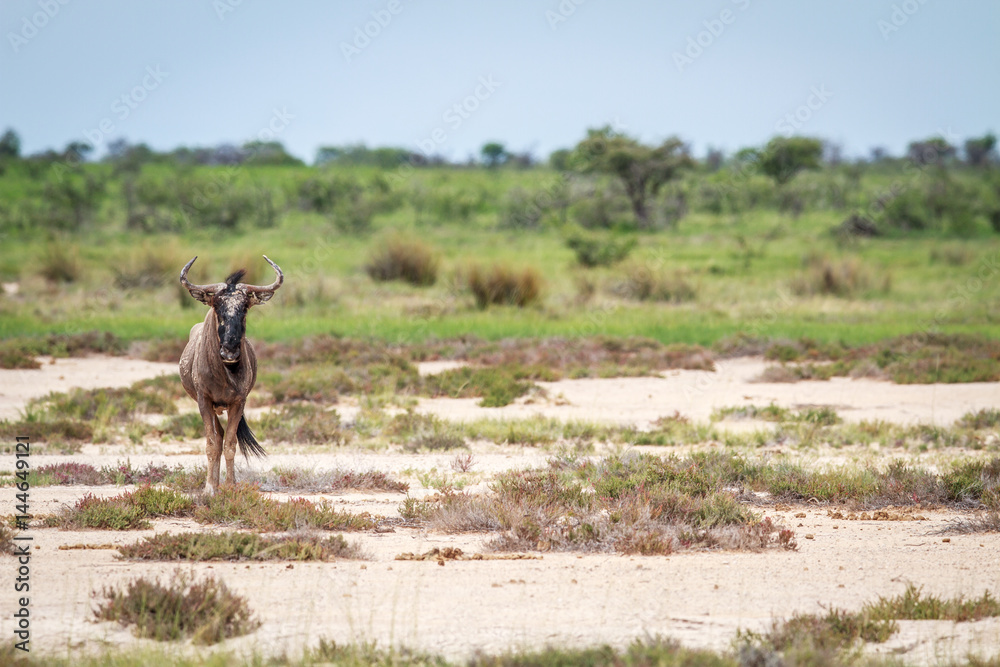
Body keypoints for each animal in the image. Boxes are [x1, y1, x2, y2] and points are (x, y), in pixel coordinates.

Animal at [178, 255, 283, 493]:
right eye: (217, 305)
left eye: (244, 308)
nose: (229, 351)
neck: (224, 376)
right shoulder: (204, 401)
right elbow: (211, 444)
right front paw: (209, 489)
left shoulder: (238, 402)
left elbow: (230, 444)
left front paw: (231, 486)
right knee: (216, 438)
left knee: (223, 438)